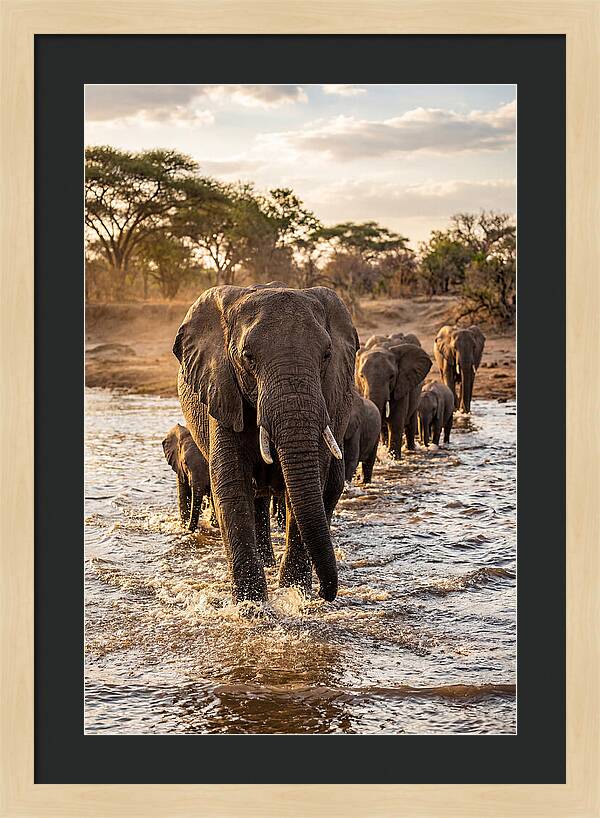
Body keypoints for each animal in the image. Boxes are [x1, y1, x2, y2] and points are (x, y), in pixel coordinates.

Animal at [173, 283, 358, 604]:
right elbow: (231, 485)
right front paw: (252, 606)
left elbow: (310, 482)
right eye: (248, 357)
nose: (327, 593)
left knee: (326, 489)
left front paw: (295, 594)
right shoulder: (222, 389)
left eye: (327, 355)